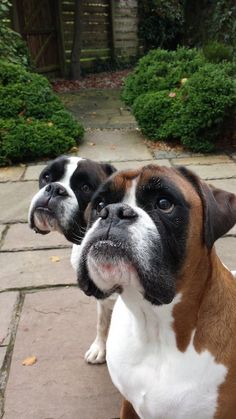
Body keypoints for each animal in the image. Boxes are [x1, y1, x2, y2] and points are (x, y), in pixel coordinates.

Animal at [28, 157, 116, 364]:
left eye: (85, 187)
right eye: (47, 177)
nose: (55, 189)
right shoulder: (103, 297)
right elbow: (102, 322)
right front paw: (99, 348)